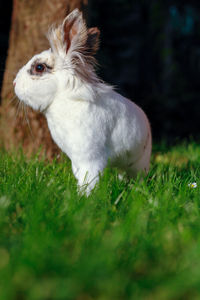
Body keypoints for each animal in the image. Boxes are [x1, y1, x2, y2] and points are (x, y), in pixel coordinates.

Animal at [14, 8, 152, 195]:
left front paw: (83, 198)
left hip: (139, 163)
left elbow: (89, 180)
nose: (14, 83)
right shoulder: (77, 160)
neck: (63, 100)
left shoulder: (90, 158)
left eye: (39, 67)